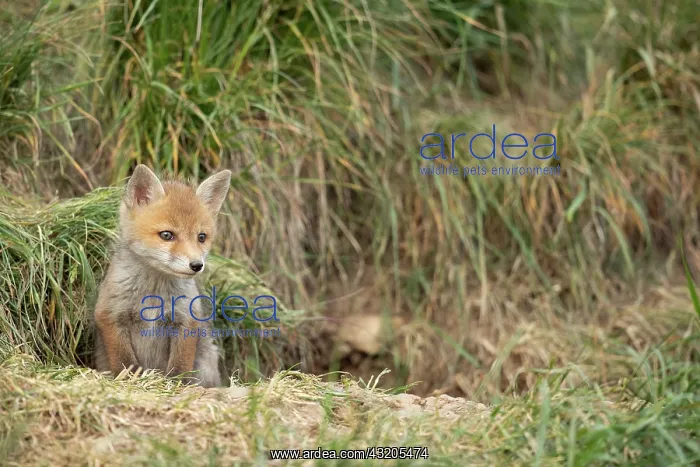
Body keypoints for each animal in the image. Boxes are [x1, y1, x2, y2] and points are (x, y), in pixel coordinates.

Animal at [92, 164, 231, 388]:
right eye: (167, 235)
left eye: (201, 237)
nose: (196, 265)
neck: (153, 293)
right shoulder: (109, 315)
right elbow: (125, 361)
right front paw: (131, 381)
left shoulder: (186, 320)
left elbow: (180, 366)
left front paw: (175, 386)